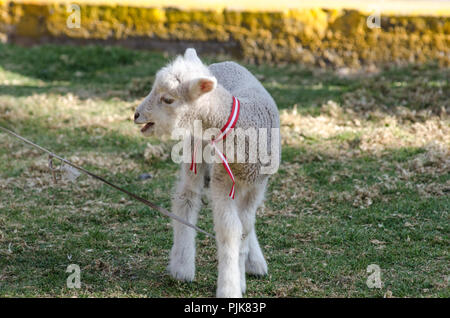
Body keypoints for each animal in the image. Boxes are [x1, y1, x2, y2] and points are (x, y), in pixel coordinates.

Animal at [134, 47, 282, 298]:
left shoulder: (256, 184)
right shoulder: (222, 179)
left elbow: (244, 228)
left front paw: (240, 276)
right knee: (186, 198)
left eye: (168, 99)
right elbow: (230, 229)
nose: (136, 115)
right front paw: (230, 287)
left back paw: (255, 263)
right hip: (195, 149)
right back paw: (182, 267)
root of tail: (222, 63)